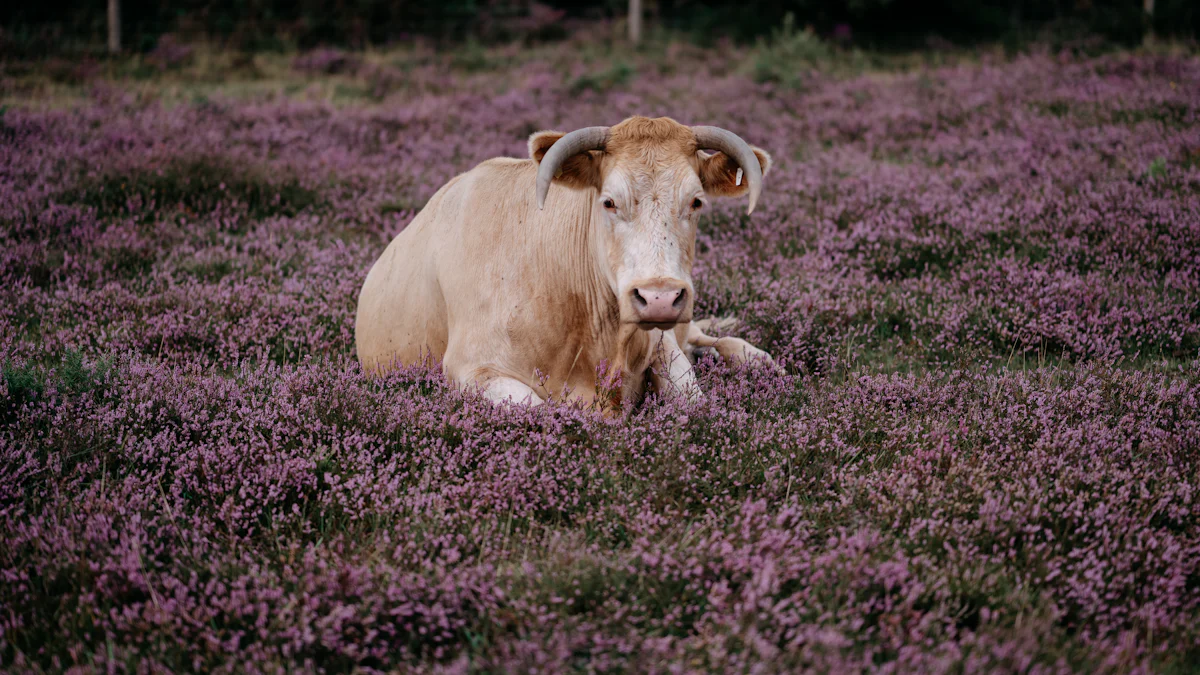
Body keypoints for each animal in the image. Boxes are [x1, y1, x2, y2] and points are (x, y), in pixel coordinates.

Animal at [355, 116, 778, 407]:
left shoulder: (659, 339)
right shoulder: (469, 368)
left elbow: (691, 400)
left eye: (696, 201)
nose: (659, 298)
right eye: (608, 201)